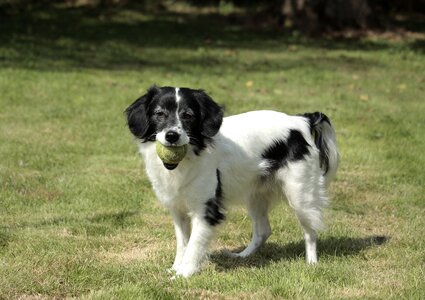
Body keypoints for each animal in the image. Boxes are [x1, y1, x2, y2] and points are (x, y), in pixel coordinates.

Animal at [123, 85, 338, 278]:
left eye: (188, 115)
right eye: (159, 113)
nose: (172, 136)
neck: (187, 158)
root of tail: (302, 120)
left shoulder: (206, 210)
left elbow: (194, 245)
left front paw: (183, 274)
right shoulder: (177, 209)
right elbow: (182, 243)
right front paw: (176, 268)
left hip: (300, 195)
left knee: (310, 231)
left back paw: (311, 263)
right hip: (256, 195)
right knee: (263, 230)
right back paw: (242, 256)